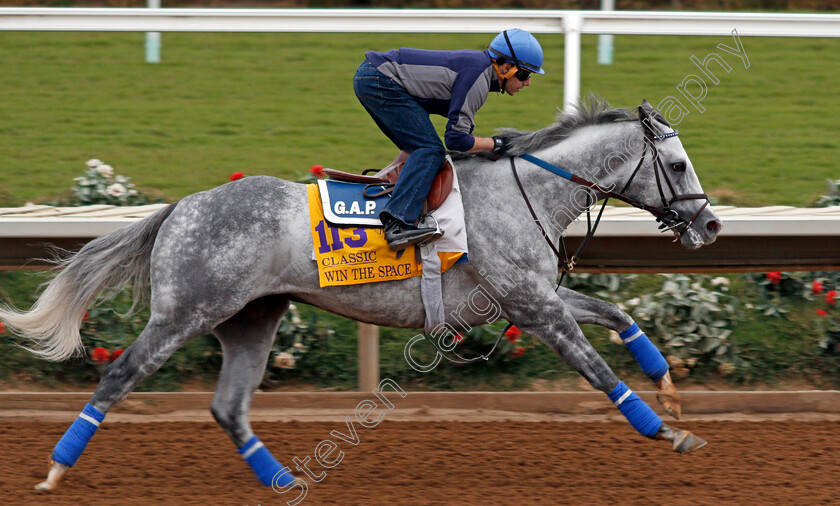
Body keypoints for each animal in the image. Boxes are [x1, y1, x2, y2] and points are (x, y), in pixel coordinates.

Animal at [1, 98, 720, 490]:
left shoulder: (529, 298)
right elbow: (599, 372)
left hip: (252, 319)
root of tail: (182, 207)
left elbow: (618, 315)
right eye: (678, 164)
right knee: (118, 377)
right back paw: (56, 471)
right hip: (186, 312)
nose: (711, 226)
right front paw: (666, 431)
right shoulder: (533, 306)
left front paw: (669, 388)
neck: (526, 192)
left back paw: (283, 479)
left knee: (229, 406)